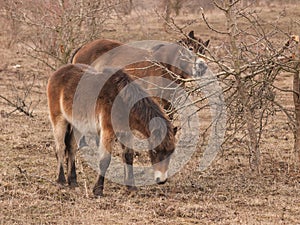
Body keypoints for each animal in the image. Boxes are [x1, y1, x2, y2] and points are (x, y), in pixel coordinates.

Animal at [47, 62, 176, 195]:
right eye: (154, 151)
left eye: (171, 152)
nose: (161, 180)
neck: (122, 102)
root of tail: (57, 73)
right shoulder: (107, 132)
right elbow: (105, 160)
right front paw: (98, 190)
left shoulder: (126, 133)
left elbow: (128, 157)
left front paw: (131, 186)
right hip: (59, 120)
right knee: (60, 148)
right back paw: (61, 180)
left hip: (77, 125)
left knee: (71, 147)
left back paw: (72, 181)